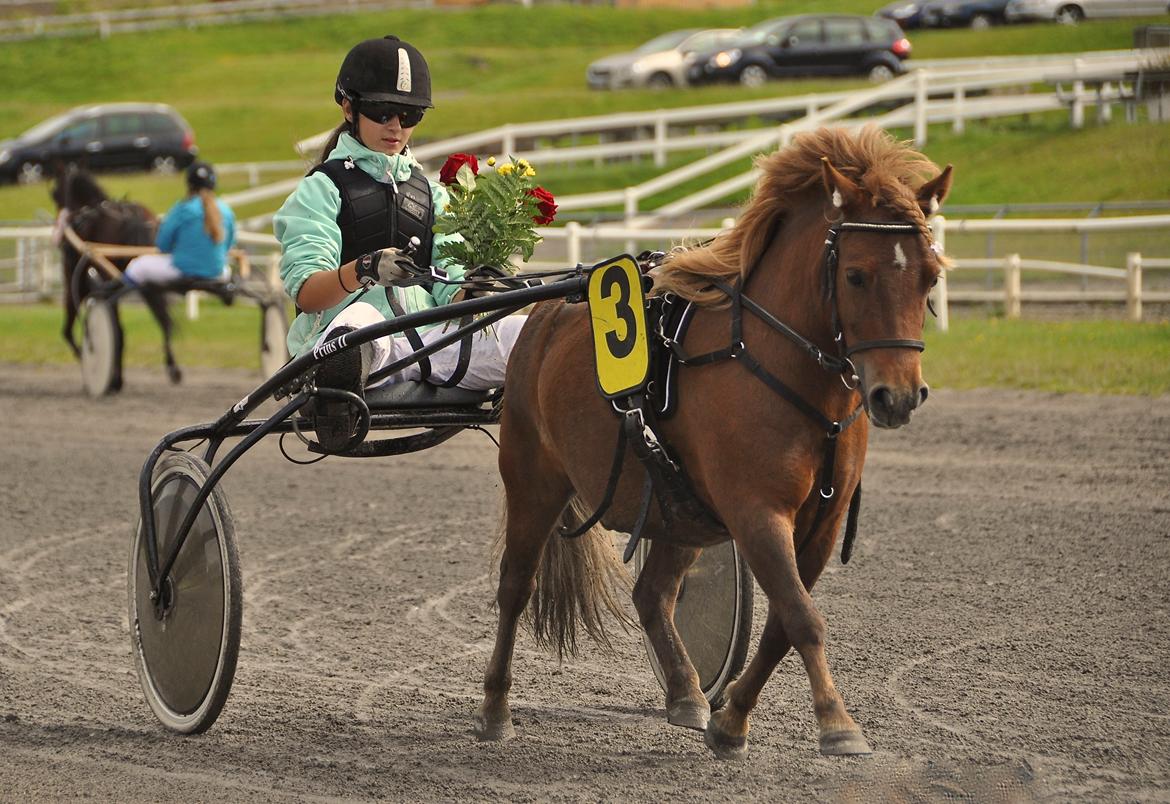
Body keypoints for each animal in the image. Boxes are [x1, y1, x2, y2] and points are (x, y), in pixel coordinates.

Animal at [475, 127, 950, 763]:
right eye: (856, 275)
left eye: (930, 276)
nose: (897, 396)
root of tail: (543, 311)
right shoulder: (755, 510)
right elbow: (802, 617)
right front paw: (837, 722)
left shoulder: (819, 525)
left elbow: (782, 623)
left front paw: (731, 720)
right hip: (534, 476)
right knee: (515, 586)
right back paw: (495, 707)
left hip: (678, 508)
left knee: (652, 593)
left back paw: (686, 693)